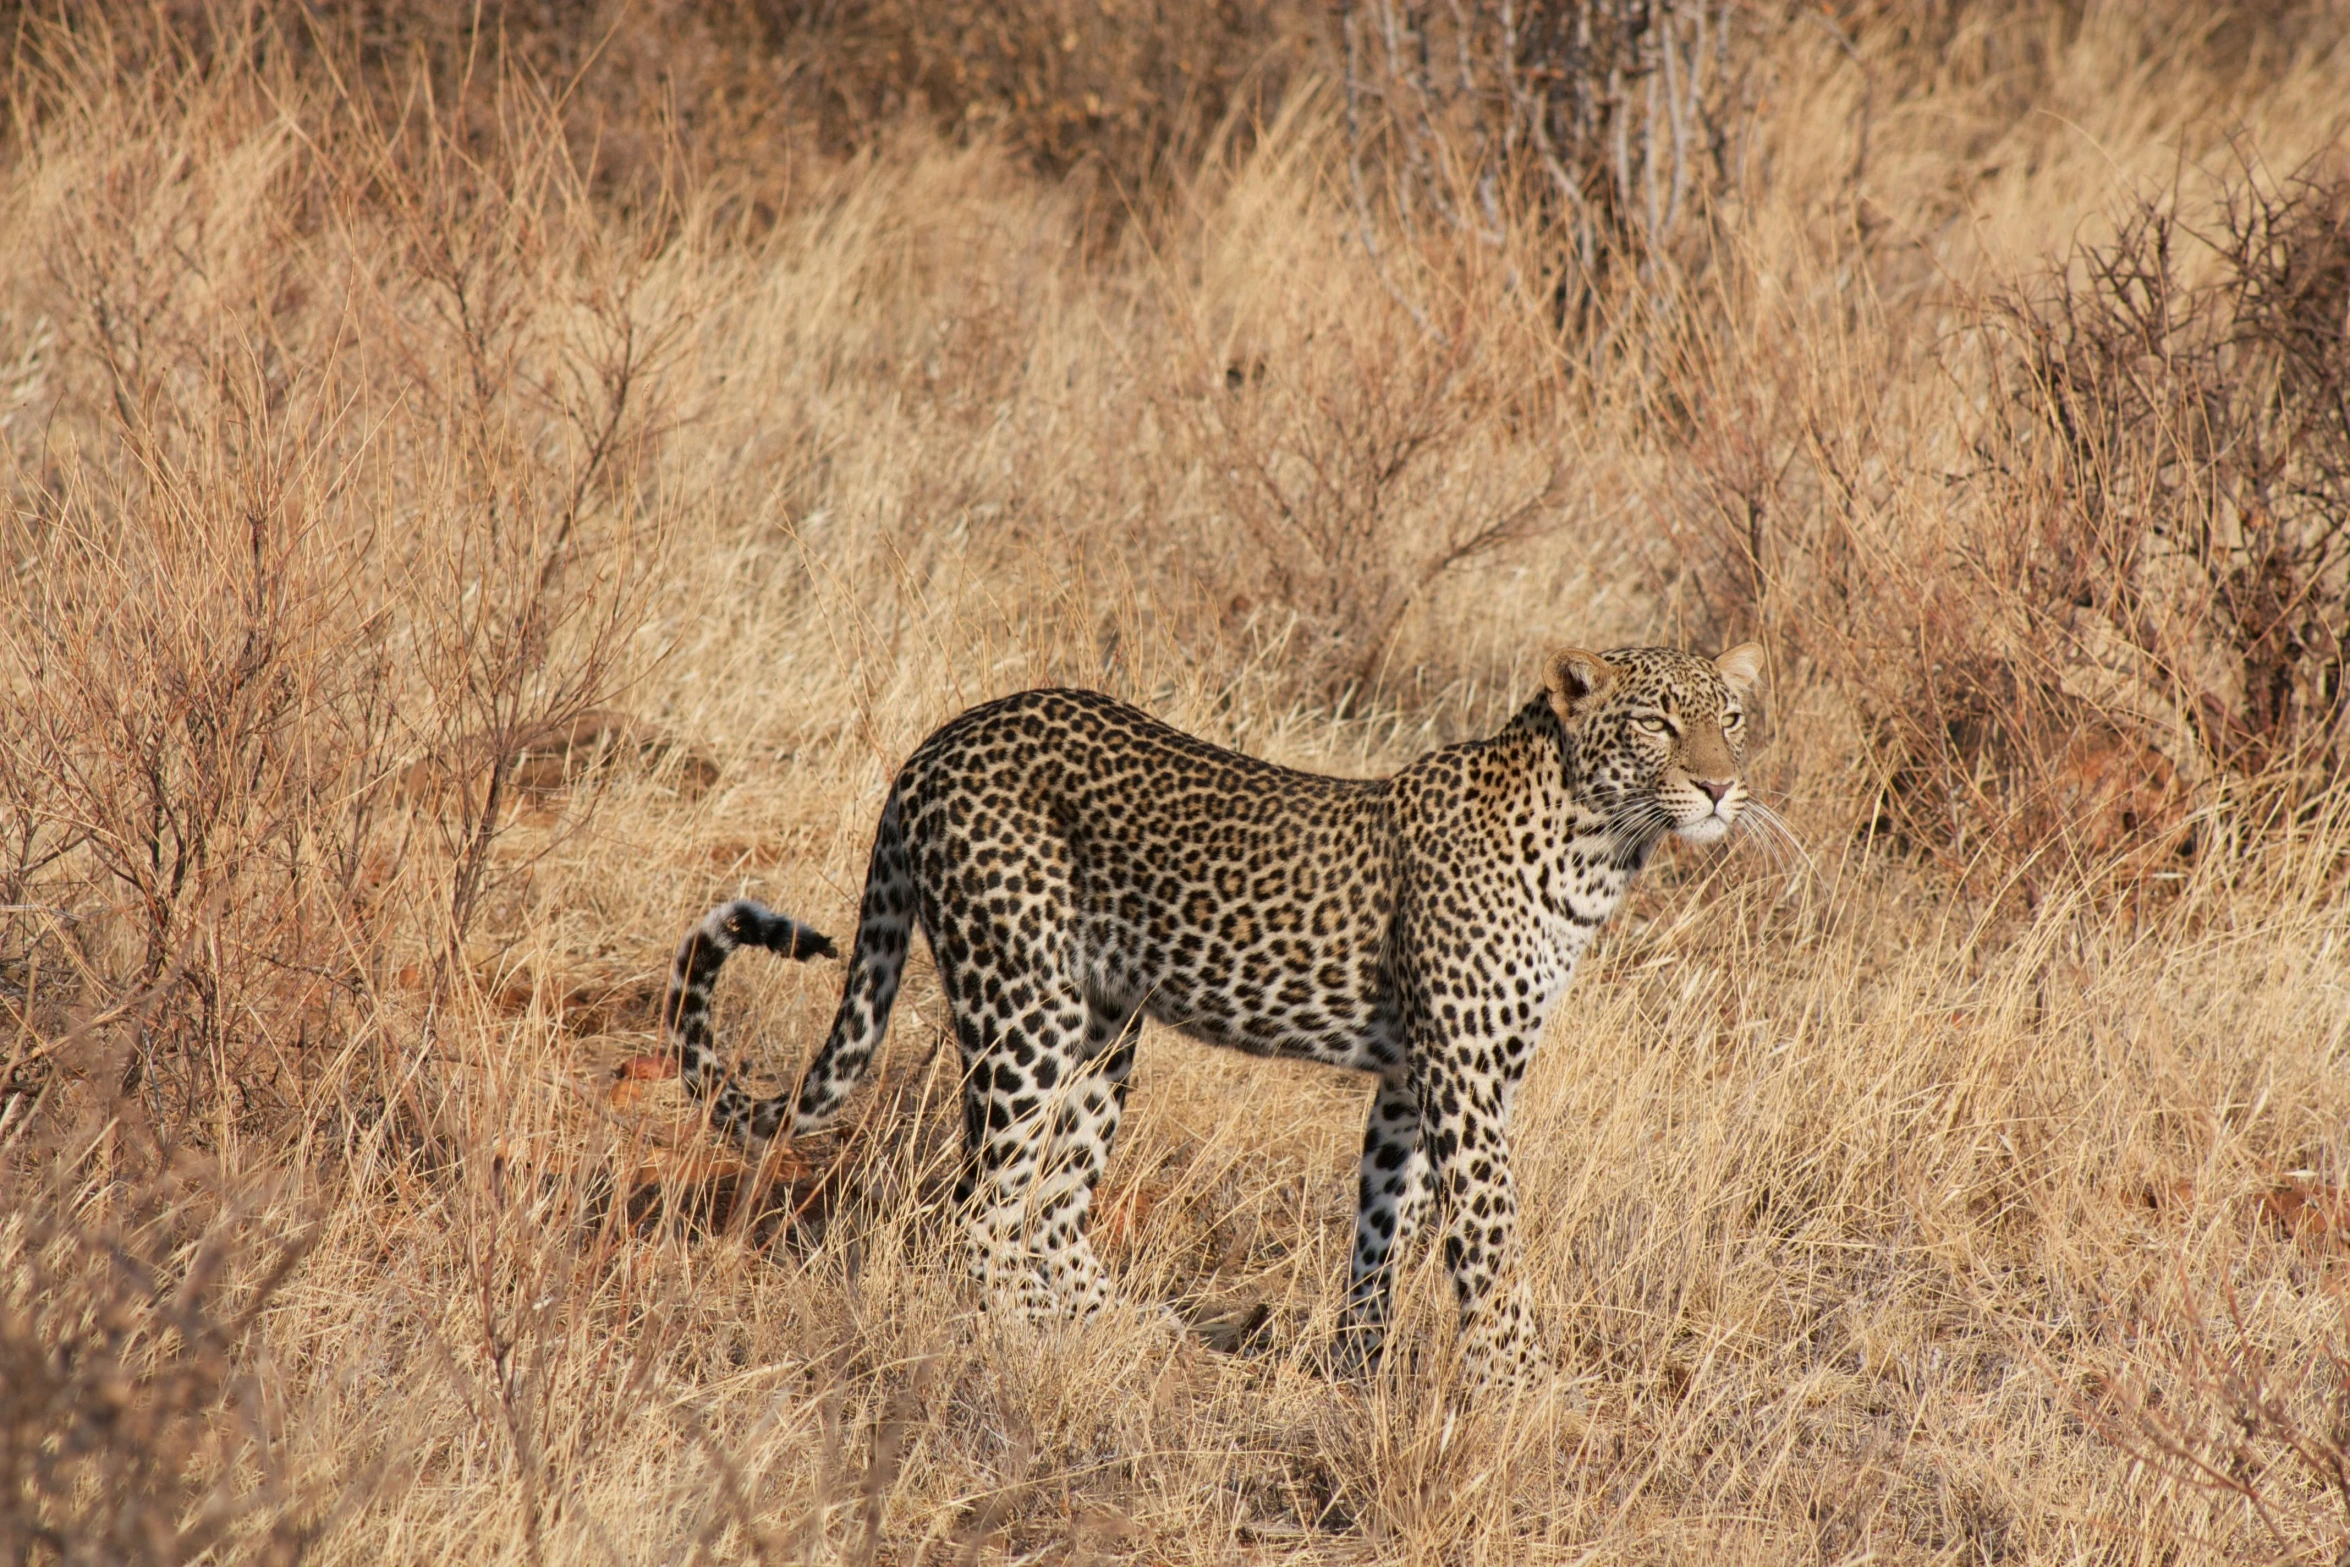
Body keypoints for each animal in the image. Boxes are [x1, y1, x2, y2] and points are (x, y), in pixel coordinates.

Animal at [658, 643, 1767, 1381]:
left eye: (1733, 718)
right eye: (1658, 723)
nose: (1721, 787)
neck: (1595, 845)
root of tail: (939, 740)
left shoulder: (1413, 1080)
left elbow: (1384, 1226)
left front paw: (1357, 1367)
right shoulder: (1465, 1077)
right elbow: (1491, 1241)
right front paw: (1522, 1387)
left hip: (1104, 1026)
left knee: (1053, 1204)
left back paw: (1117, 1331)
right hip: (1022, 1005)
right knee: (980, 1205)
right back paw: (1022, 1345)